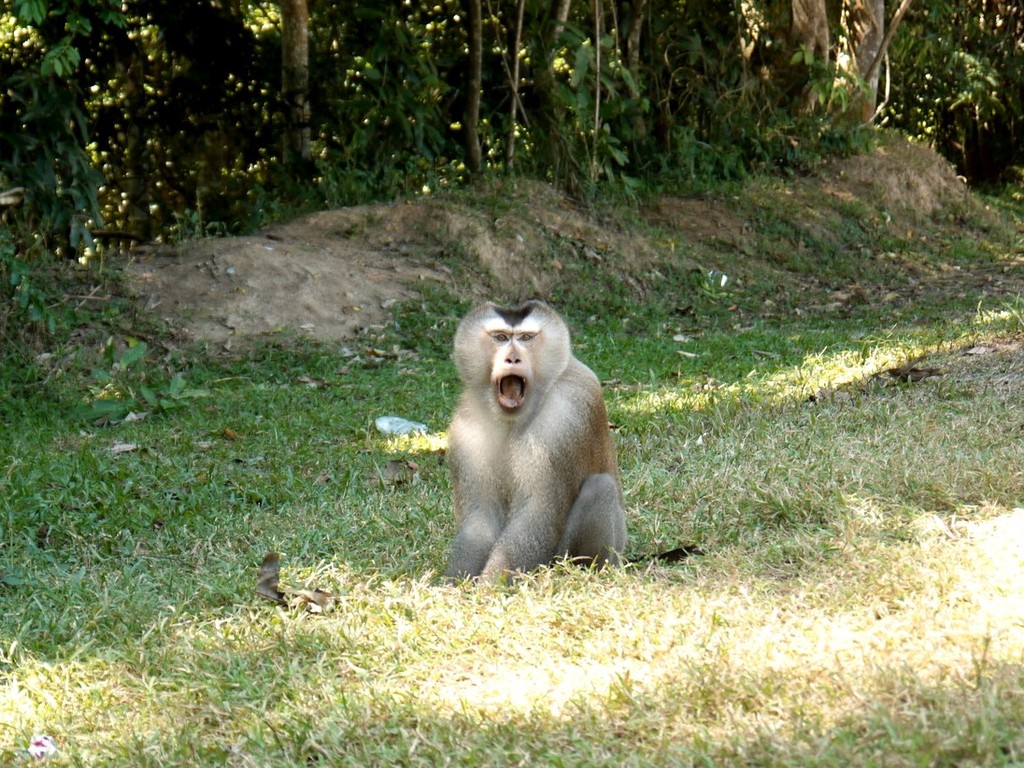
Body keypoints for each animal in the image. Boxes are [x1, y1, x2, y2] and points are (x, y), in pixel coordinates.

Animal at [445, 300, 627, 582]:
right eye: (501, 337)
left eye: (526, 338)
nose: (512, 358)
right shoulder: (468, 426)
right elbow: (479, 520)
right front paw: (454, 586)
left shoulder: (563, 418)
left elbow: (537, 513)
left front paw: (489, 586)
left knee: (601, 488)